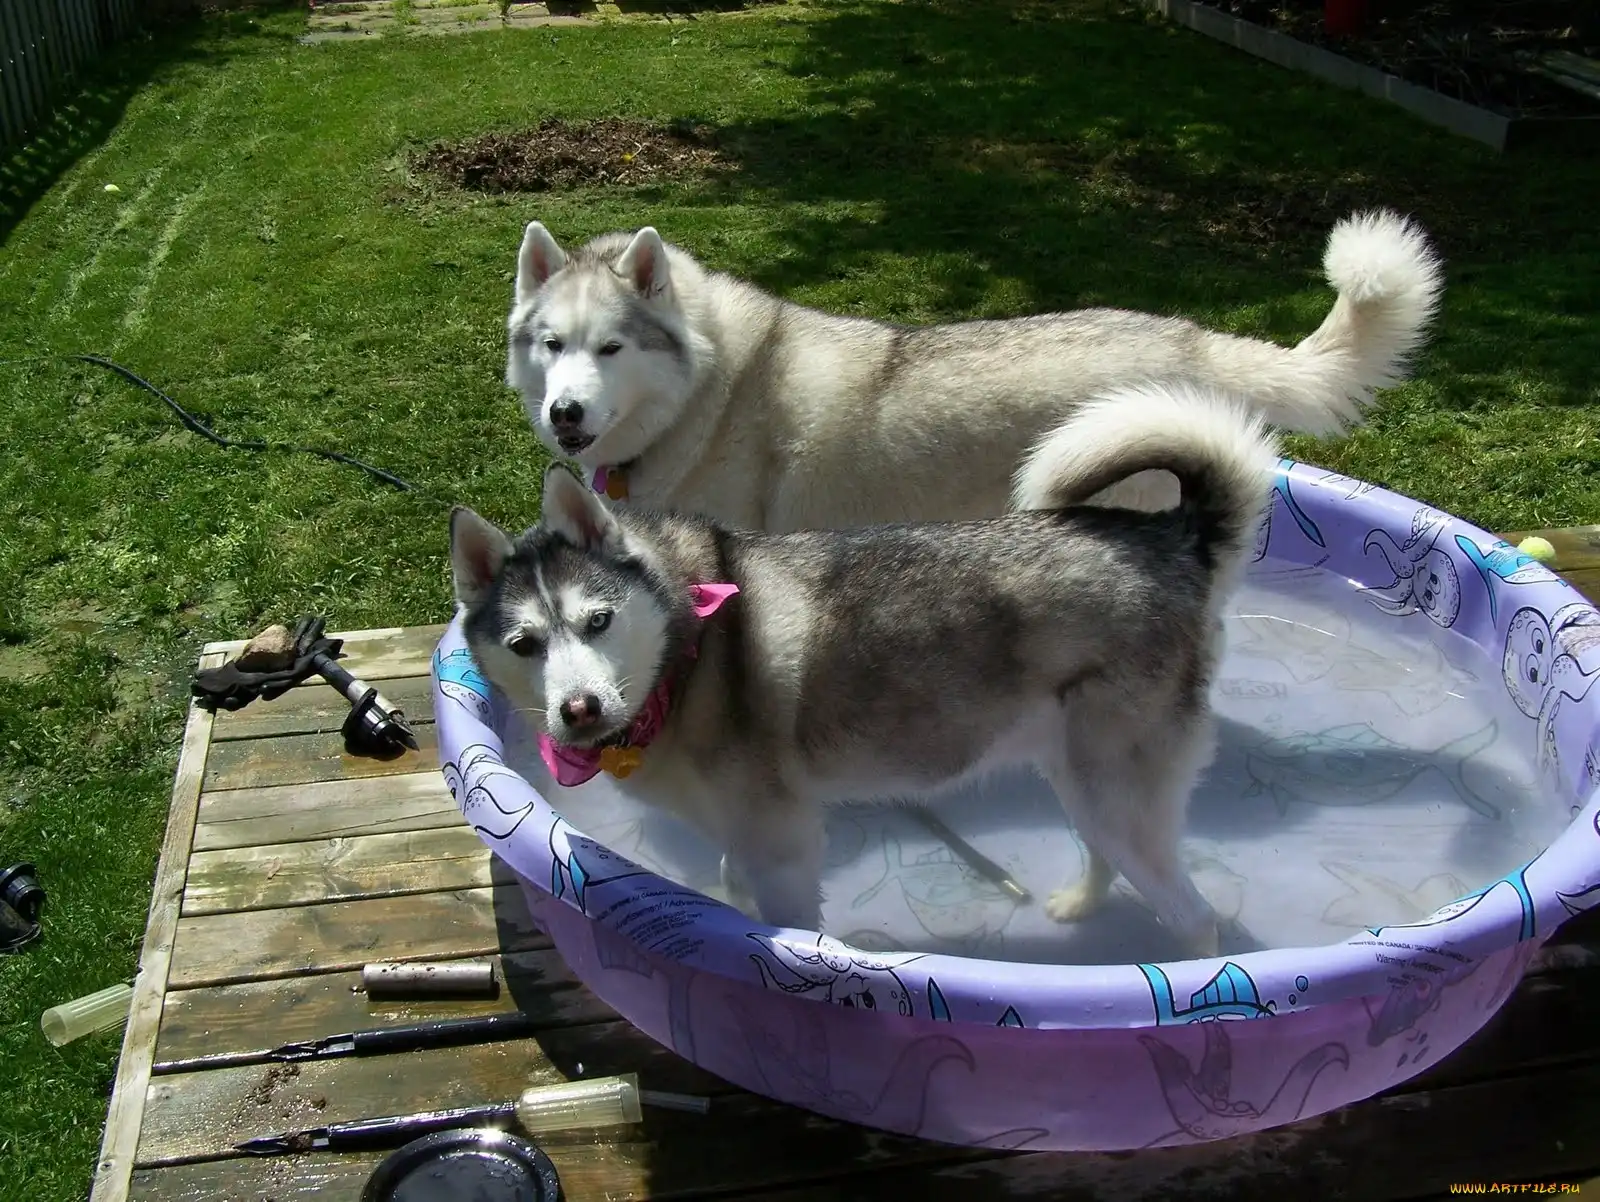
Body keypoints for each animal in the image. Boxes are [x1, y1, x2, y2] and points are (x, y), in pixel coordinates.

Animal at [450, 382, 1280, 958]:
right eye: (525, 644)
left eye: (598, 621)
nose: (580, 709)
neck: (686, 657)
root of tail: (1179, 538)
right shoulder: (749, 836)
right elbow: (728, 885)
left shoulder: (784, 844)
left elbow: (782, 920)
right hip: (1080, 775)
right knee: (1105, 855)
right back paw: (1082, 905)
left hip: (1116, 789)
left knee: (1195, 917)